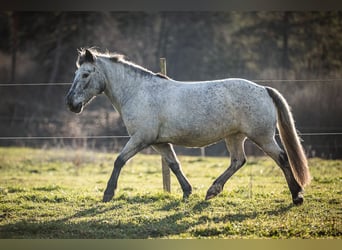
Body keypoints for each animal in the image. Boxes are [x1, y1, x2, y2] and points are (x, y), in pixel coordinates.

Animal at [65, 48, 312, 205]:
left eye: (85, 74)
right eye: (75, 73)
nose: (70, 103)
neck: (138, 92)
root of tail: (264, 90)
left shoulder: (141, 138)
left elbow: (119, 160)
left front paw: (108, 194)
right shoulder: (159, 143)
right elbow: (174, 165)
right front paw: (187, 192)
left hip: (262, 137)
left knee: (282, 158)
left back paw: (297, 196)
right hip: (235, 136)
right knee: (238, 161)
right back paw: (212, 191)